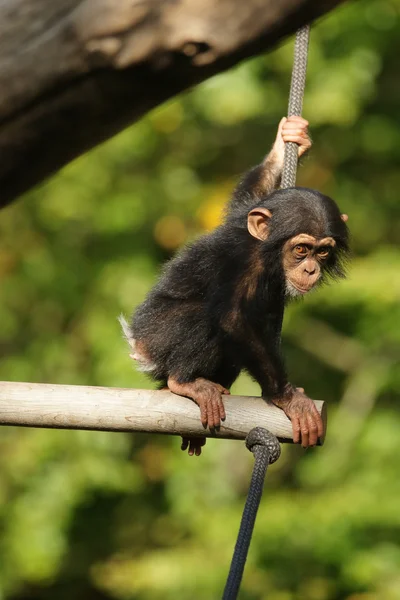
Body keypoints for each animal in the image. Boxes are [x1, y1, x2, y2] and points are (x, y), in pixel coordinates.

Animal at [120, 117, 348, 454]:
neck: (268, 253)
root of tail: (138, 345)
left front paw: (287, 142)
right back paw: (185, 383)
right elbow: (233, 318)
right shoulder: (241, 262)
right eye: (301, 249)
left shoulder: (244, 215)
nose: (311, 269)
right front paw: (288, 398)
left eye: (323, 252)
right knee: (203, 319)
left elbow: (248, 196)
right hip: (158, 340)